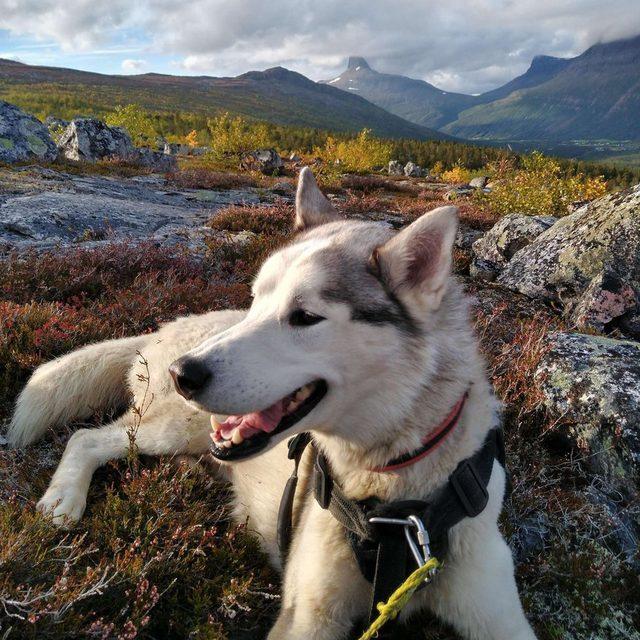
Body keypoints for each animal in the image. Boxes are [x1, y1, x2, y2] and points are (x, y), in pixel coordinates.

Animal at [7, 168, 536, 636]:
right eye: (256, 299)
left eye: (304, 317)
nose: (184, 374)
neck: (398, 504)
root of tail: (164, 331)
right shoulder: (307, 616)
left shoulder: (499, 616)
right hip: (172, 427)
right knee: (87, 438)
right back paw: (64, 498)